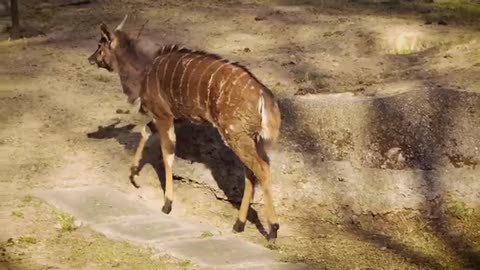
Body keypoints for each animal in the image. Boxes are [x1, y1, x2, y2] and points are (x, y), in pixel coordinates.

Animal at [87, 15, 282, 242]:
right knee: (252, 171)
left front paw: (167, 204)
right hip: (251, 138)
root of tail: (264, 96)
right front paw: (134, 172)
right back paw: (239, 224)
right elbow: (145, 131)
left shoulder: (163, 115)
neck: (144, 71)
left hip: (235, 134)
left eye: (100, 45)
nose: (90, 58)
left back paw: (273, 229)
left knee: (262, 168)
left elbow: (167, 154)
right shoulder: (171, 116)